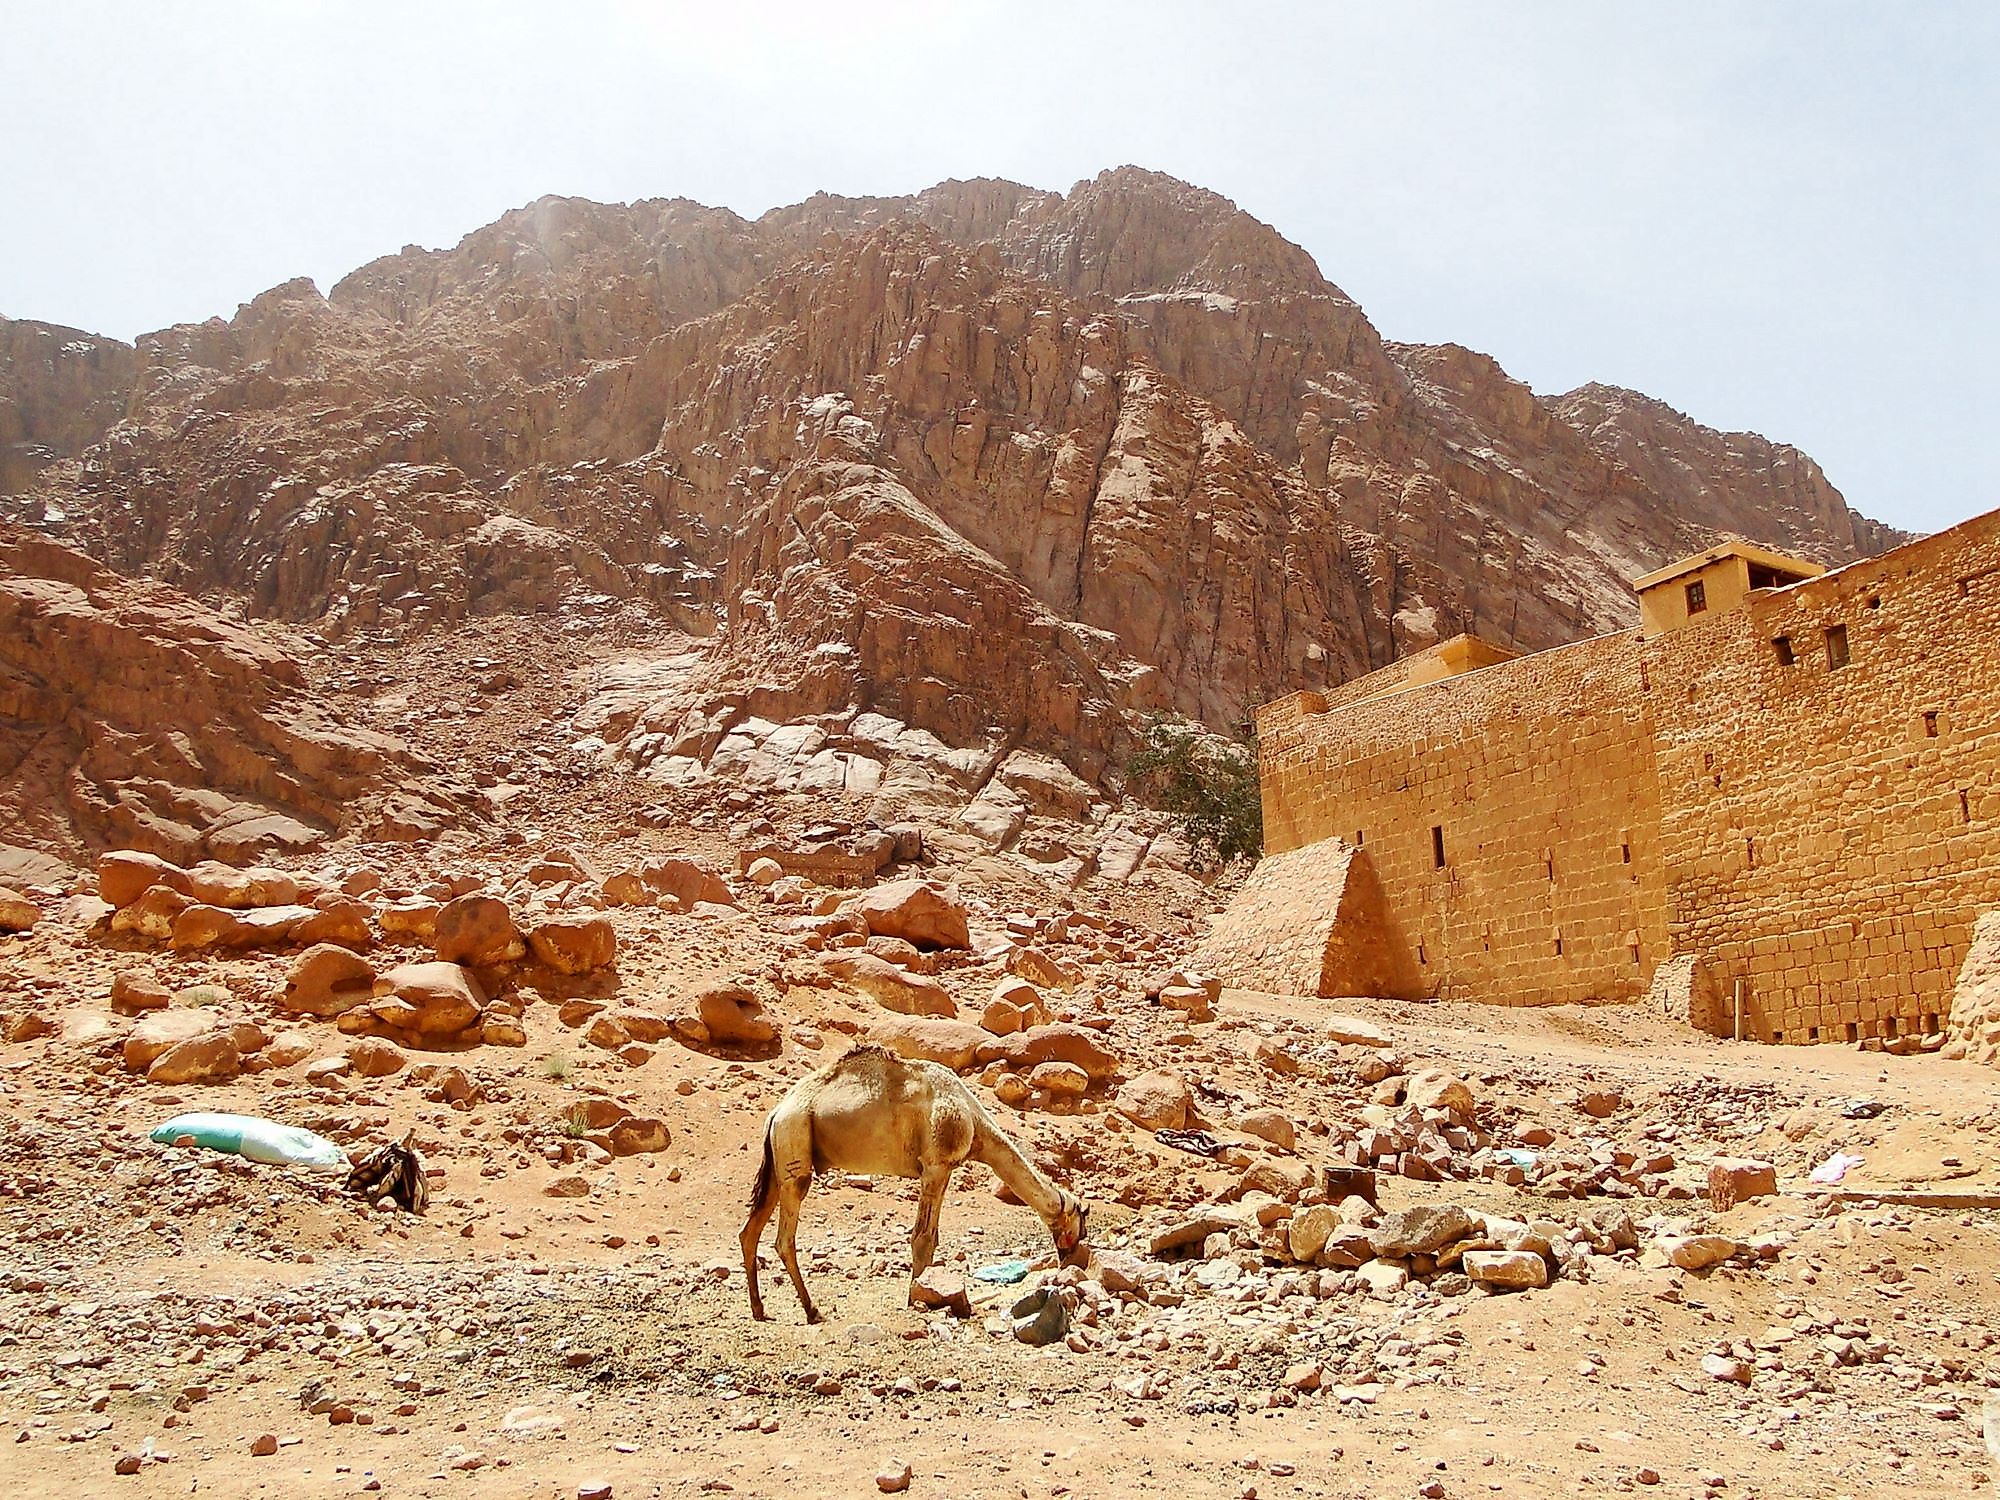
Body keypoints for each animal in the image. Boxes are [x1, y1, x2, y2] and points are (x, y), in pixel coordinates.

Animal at [744, 1048, 1088, 1328]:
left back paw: (759, 1309)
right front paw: (916, 1299)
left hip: (778, 1163)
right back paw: (812, 1310)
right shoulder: (936, 1165)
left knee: (750, 1232)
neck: (974, 1122)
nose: (1071, 1258)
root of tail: (776, 1113)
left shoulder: (942, 1168)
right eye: (1080, 1222)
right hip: (795, 1145)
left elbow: (931, 1237)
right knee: (784, 1239)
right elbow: (922, 1238)